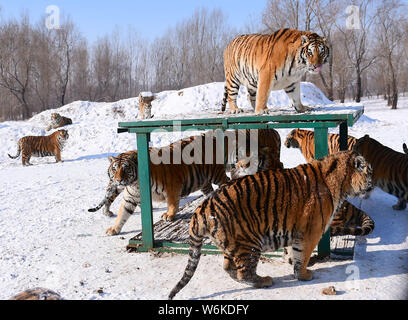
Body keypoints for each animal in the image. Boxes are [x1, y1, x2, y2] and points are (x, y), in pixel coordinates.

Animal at [88, 127, 280, 235]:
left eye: (126, 168)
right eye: (115, 169)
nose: (119, 180)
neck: (134, 183)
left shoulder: (172, 186)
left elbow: (172, 203)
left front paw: (169, 215)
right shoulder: (130, 197)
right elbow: (123, 214)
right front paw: (114, 229)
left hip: (216, 174)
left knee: (226, 182)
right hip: (205, 180)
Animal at [167, 151, 372, 300]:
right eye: (369, 171)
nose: (372, 184)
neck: (341, 183)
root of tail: (201, 208)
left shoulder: (295, 230)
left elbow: (293, 251)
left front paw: (291, 264)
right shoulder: (311, 231)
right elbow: (303, 255)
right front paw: (303, 274)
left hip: (230, 243)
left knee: (228, 267)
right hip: (249, 243)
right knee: (244, 272)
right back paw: (264, 281)